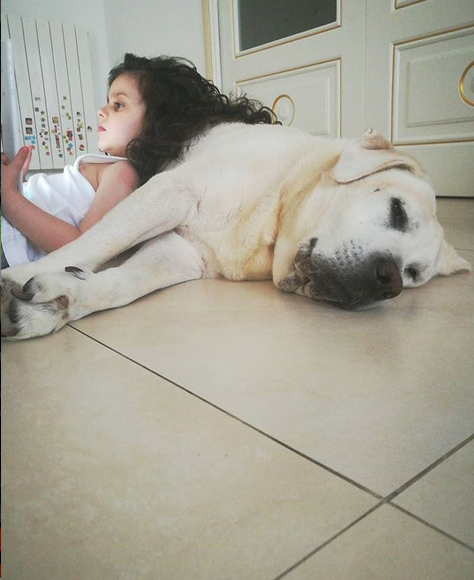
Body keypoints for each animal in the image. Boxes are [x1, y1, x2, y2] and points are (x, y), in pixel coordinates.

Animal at [1, 123, 470, 340]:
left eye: (413, 275)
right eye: (397, 210)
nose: (390, 281)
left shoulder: (181, 252)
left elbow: (122, 284)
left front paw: (59, 300)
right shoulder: (171, 190)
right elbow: (97, 241)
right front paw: (18, 277)